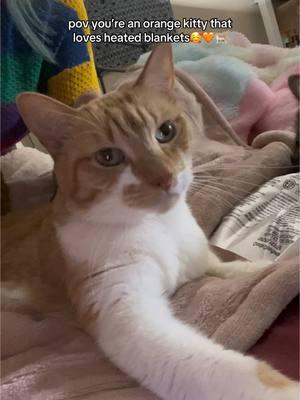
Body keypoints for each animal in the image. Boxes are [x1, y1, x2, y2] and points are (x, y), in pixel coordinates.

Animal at [1, 44, 298, 400]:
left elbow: (239, 268)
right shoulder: (123, 310)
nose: (165, 177)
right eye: (108, 157)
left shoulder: (201, 261)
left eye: (166, 131)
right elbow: (229, 370)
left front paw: (269, 265)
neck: (158, 227)